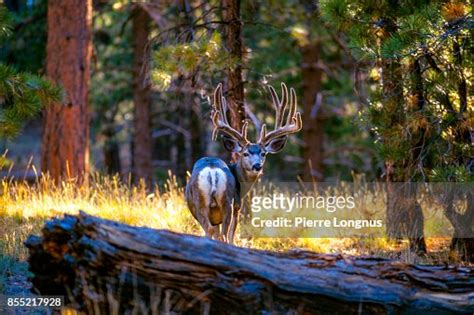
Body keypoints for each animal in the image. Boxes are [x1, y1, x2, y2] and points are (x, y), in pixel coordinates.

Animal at [186, 82, 304, 244]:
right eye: (245, 153)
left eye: (263, 153)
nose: (257, 166)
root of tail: (212, 170)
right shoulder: (237, 206)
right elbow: (230, 235)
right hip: (228, 203)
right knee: (224, 234)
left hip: (201, 204)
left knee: (209, 230)